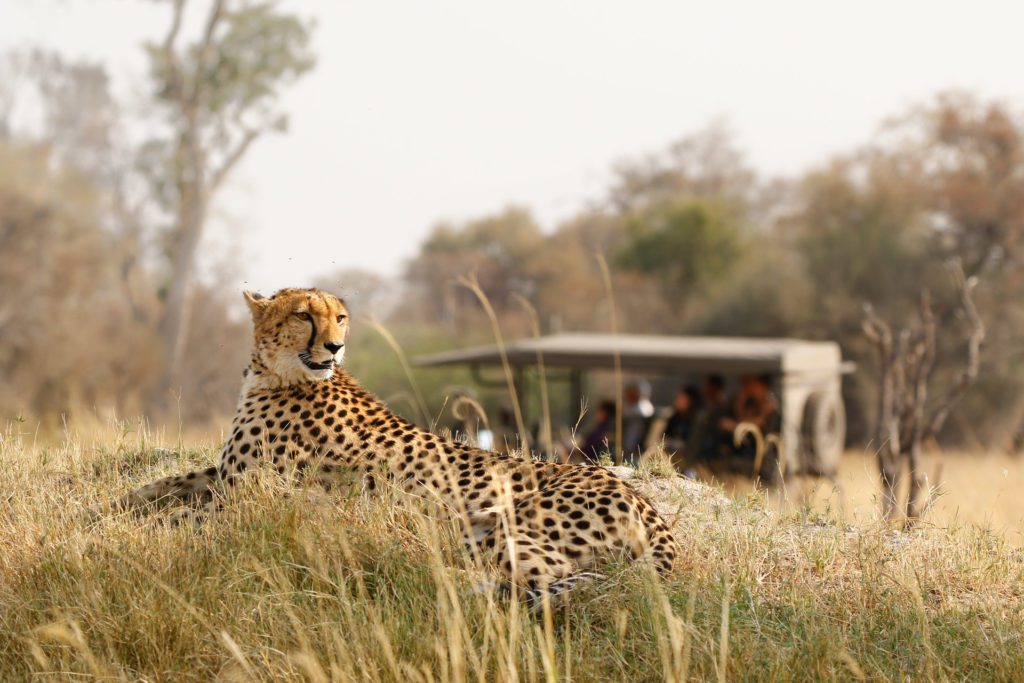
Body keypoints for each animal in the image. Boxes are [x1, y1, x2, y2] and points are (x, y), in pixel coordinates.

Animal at [123, 286, 675, 602]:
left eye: (340, 317)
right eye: (304, 316)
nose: (335, 345)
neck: (277, 374)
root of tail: (643, 501)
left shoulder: (251, 493)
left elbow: (181, 517)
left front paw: (134, 528)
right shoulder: (226, 474)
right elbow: (164, 485)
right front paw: (118, 504)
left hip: (494, 524)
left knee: (542, 574)